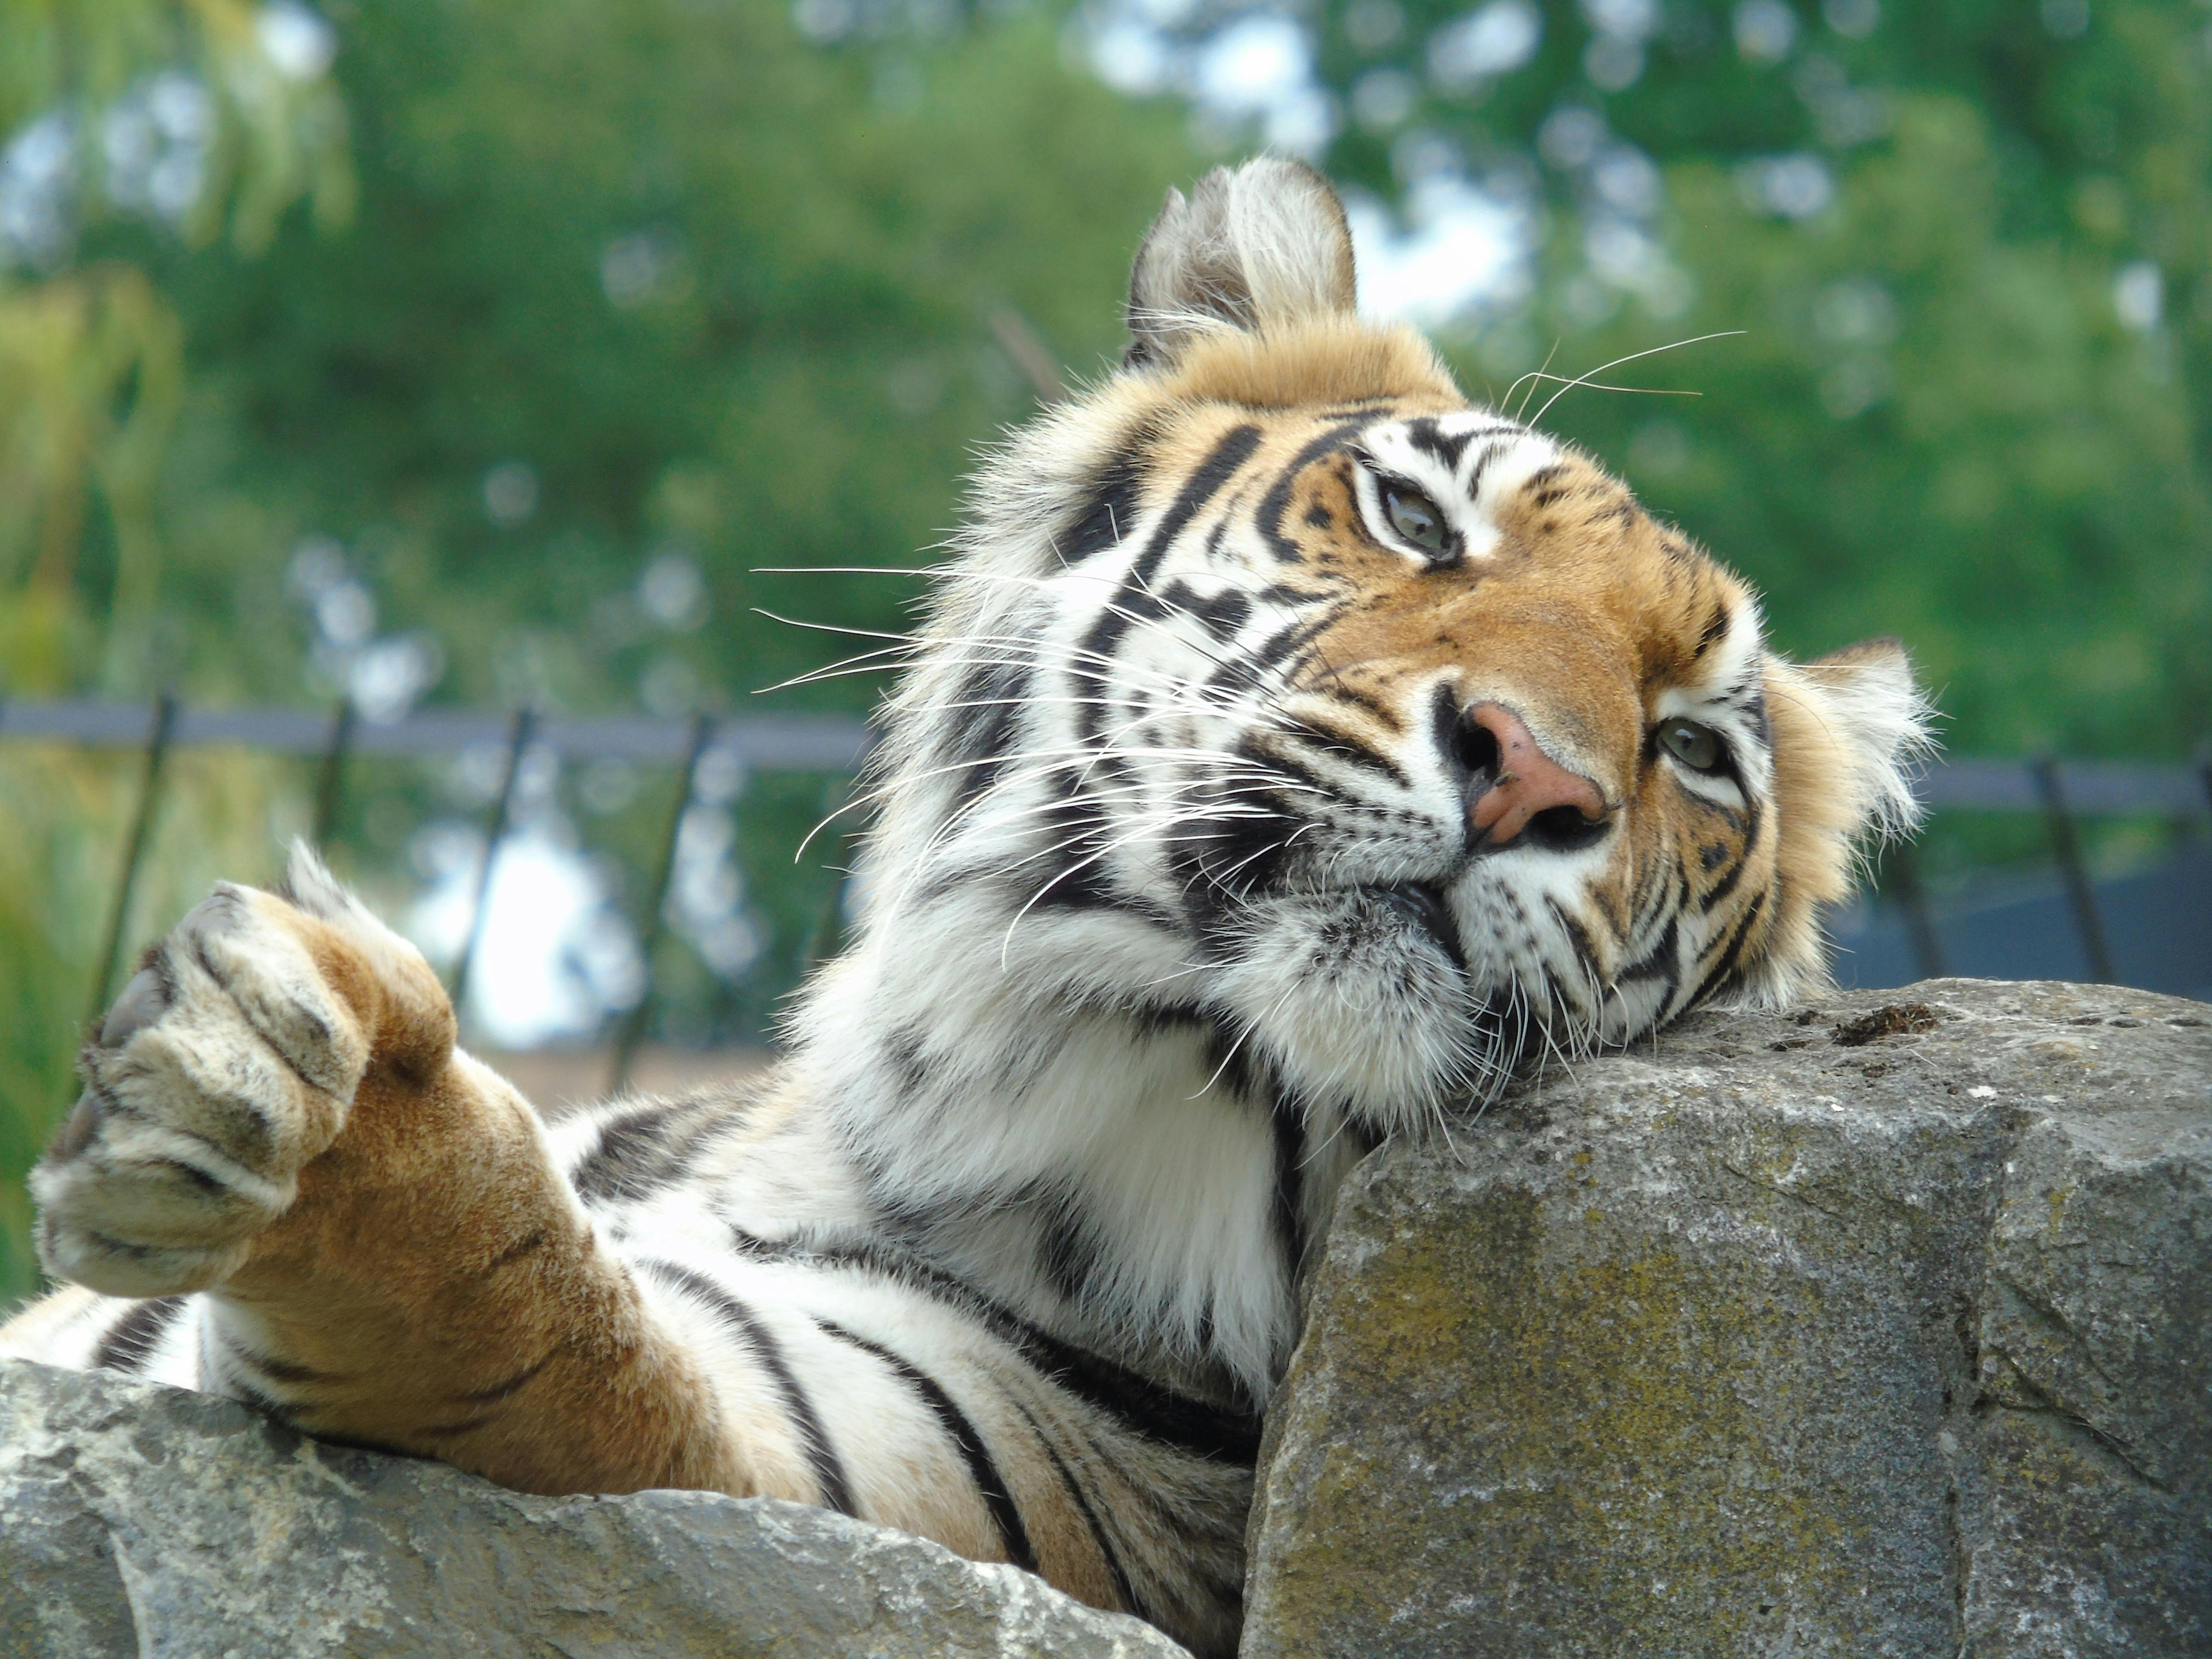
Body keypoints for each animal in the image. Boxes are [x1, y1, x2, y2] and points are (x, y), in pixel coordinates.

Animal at [1, 158, 1927, 1656]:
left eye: (1693, 752)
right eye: (1410, 515)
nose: (1534, 776)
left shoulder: (865, 1496)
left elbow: (568, 1341)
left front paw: (317, 1105)